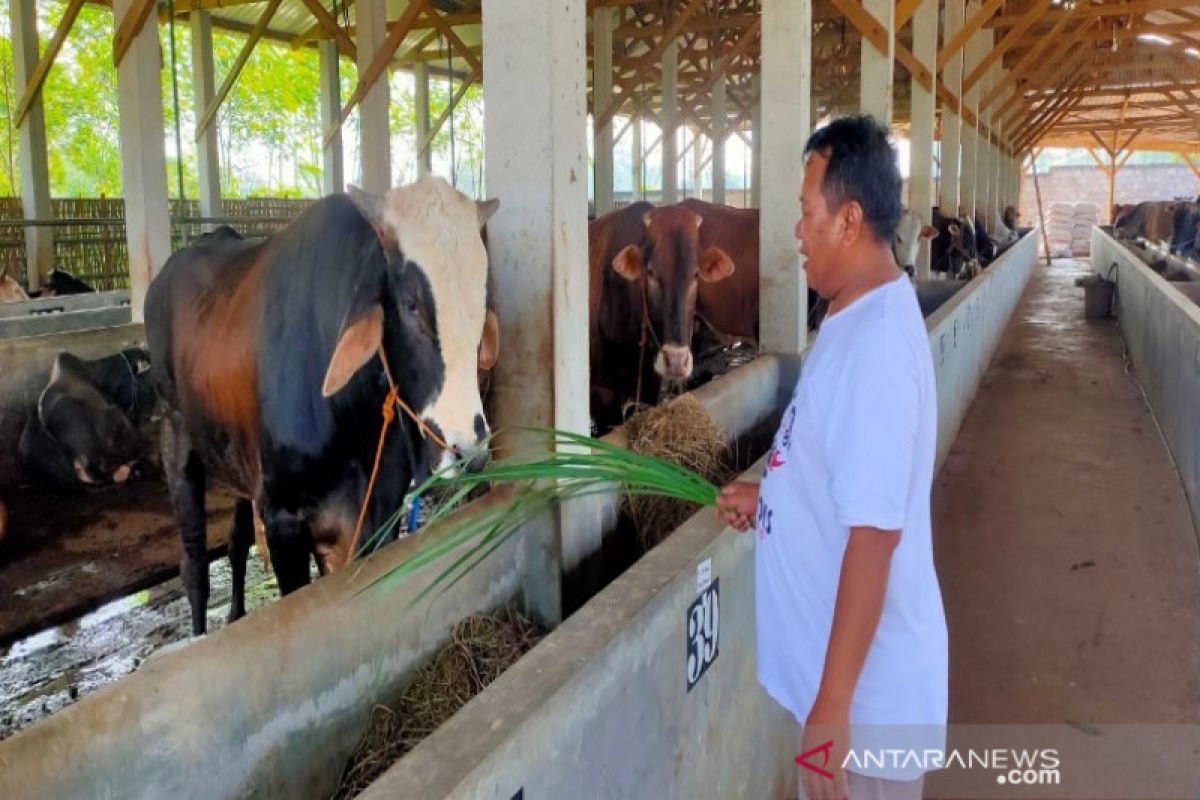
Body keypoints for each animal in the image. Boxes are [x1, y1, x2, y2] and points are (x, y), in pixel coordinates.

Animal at [147, 178, 499, 633]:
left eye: (481, 303)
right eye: (411, 304)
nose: (469, 451)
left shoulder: (377, 515)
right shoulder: (283, 520)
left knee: (237, 541)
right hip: (177, 438)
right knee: (194, 568)